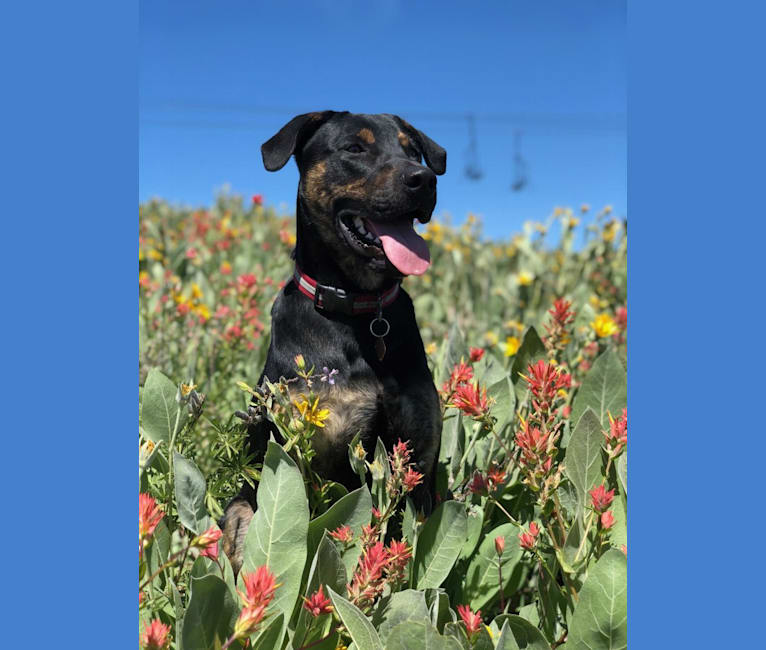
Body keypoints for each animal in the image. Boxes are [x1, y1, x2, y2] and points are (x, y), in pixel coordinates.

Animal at [222, 111, 448, 572]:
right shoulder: (306, 457)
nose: (425, 179)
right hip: (238, 512)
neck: (358, 309)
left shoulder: (418, 461)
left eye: (413, 151)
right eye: (354, 149)